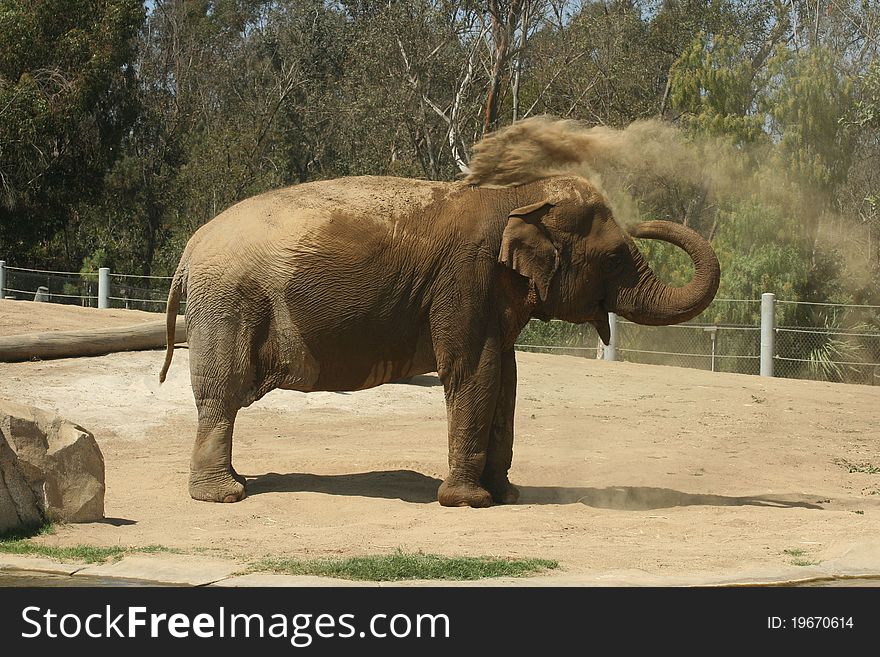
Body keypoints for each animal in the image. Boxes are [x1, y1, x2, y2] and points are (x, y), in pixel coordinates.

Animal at [162, 172, 720, 504]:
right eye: (613, 258)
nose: (644, 222)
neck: (516, 198)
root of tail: (189, 249)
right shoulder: (464, 278)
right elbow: (475, 371)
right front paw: (469, 502)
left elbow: (506, 378)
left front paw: (506, 495)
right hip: (228, 302)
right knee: (222, 392)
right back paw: (224, 495)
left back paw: (239, 483)